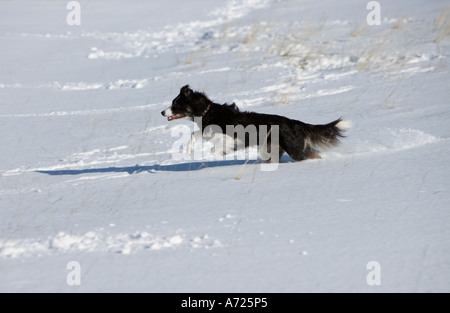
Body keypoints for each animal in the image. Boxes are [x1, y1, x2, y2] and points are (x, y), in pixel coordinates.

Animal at [163, 85, 352, 162]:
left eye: (175, 104)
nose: (162, 112)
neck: (207, 112)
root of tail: (296, 123)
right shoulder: (206, 131)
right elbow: (195, 134)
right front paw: (189, 149)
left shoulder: (231, 137)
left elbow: (215, 148)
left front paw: (217, 155)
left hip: (294, 149)